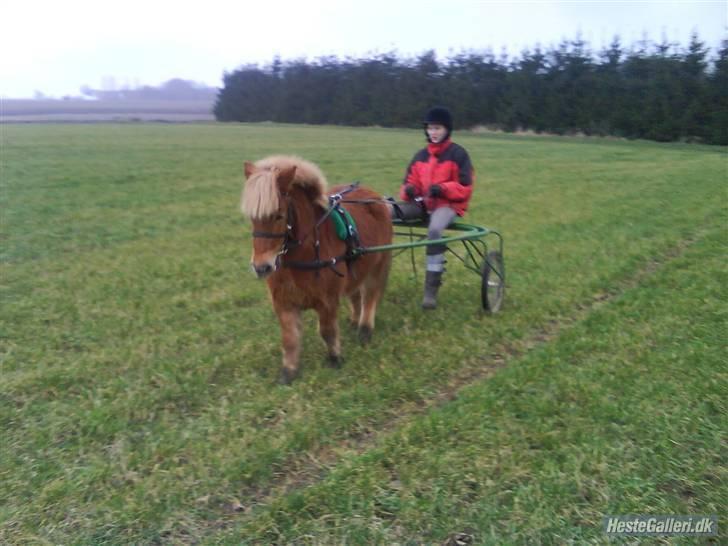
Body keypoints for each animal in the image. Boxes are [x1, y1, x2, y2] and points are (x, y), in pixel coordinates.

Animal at [242, 154, 392, 382]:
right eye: (252, 217)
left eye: (278, 215)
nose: (261, 267)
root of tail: (374, 197)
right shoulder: (283, 302)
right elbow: (290, 338)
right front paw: (289, 371)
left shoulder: (327, 300)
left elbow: (327, 331)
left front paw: (335, 359)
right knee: (356, 295)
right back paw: (355, 321)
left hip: (378, 265)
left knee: (370, 296)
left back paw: (365, 330)